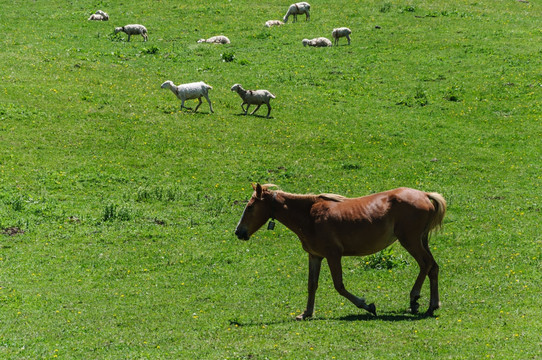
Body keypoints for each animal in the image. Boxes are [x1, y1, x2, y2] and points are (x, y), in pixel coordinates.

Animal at [236, 184, 448, 320]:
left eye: (250, 206)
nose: (239, 232)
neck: (310, 216)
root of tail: (424, 195)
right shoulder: (315, 256)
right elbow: (312, 285)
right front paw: (306, 313)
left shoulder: (333, 255)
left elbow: (339, 286)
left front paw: (367, 306)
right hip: (421, 241)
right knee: (433, 267)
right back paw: (432, 305)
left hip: (410, 241)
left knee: (426, 264)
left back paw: (415, 300)